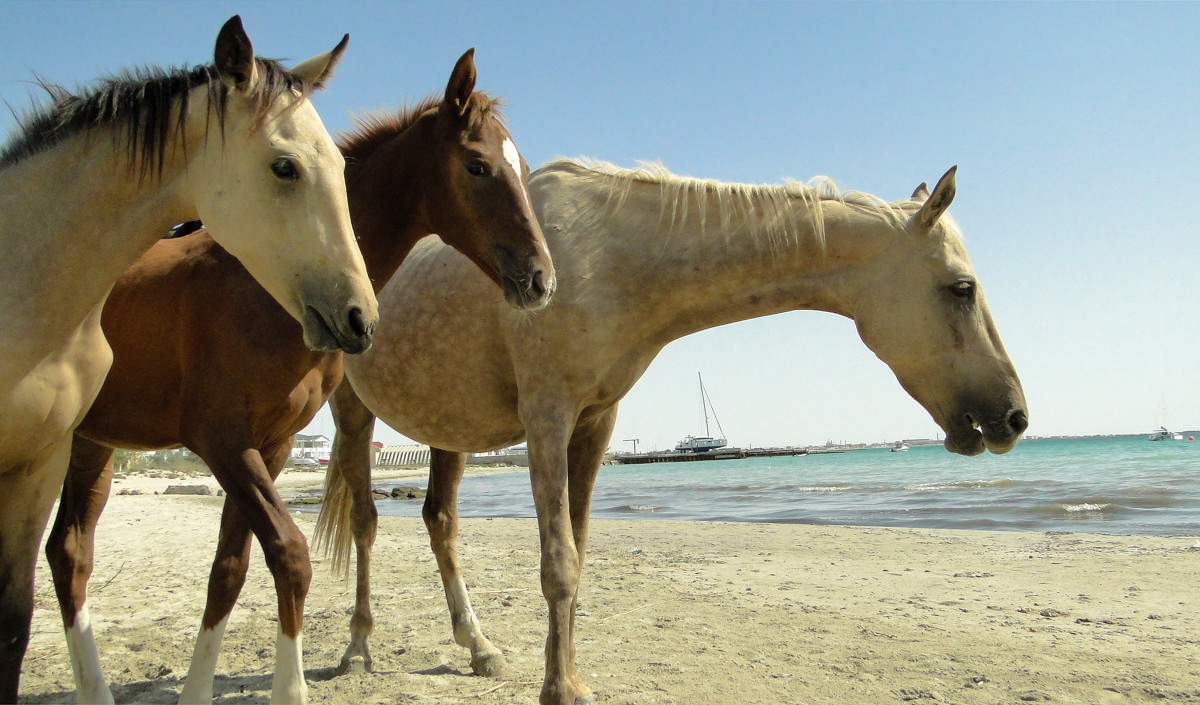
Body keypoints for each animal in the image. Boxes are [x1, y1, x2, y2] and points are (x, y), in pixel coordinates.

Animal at [0, 16, 376, 705]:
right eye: (285, 166)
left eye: (340, 165)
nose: (361, 317)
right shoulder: (220, 435)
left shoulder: (38, 462)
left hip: (90, 445)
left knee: (70, 552)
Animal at [45, 50, 552, 705]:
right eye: (478, 165)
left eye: (523, 167)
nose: (541, 279)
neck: (266, 288)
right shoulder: (221, 440)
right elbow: (288, 554)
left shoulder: (273, 444)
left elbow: (229, 570)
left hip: (94, 442)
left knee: (69, 551)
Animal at [314, 159, 1027, 705]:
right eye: (962, 289)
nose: (1015, 416)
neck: (603, 258)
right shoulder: (547, 417)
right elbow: (558, 563)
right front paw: (561, 689)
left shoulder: (594, 424)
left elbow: (577, 556)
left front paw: (566, 678)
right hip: (353, 414)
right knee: (368, 524)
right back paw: (356, 651)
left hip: (449, 430)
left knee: (440, 523)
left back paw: (480, 648)